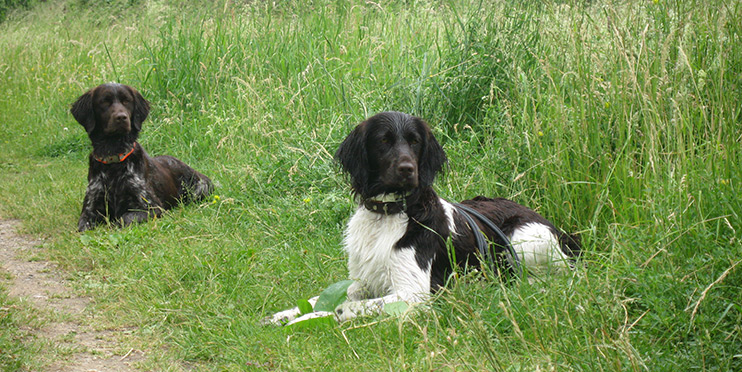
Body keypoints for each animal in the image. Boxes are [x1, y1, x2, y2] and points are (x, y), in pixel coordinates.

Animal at [72, 83, 214, 231]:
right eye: (105, 101)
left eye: (126, 101)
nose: (121, 117)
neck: (114, 160)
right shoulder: (90, 208)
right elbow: (83, 225)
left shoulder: (151, 207)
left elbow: (124, 218)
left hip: (199, 190)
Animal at [268, 112, 580, 324]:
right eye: (383, 140)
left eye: (415, 142)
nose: (408, 169)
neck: (389, 214)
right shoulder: (362, 280)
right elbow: (317, 298)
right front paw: (286, 313)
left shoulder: (414, 292)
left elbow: (343, 308)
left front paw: (316, 317)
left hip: (524, 237)